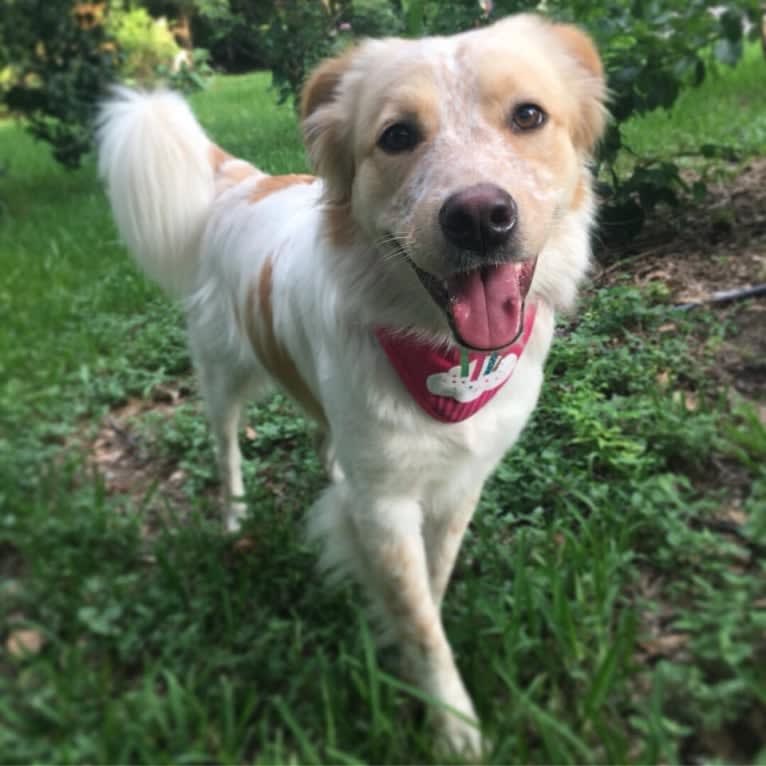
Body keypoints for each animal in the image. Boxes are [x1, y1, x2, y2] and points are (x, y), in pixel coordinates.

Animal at [99, 15, 608, 760]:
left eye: (529, 116)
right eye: (396, 135)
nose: (479, 217)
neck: (443, 356)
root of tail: (242, 183)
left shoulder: (459, 482)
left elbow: (430, 584)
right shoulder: (386, 505)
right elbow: (419, 619)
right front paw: (451, 722)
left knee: (322, 435)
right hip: (221, 376)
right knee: (226, 447)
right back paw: (233, 516)